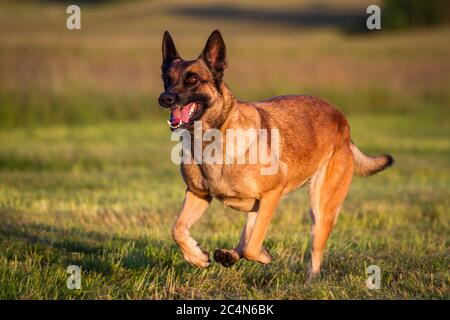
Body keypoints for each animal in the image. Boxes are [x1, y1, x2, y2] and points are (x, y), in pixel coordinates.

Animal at [158, 29, 394, 278]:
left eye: (192, 79)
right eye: (167, 79)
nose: (164, 98)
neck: (211, 140)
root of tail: (343, 122)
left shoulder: (272, 194)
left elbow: (253, 247)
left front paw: (263, 256)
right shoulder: (198, 194)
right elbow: (177, 229)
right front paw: (196, 257)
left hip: (320, 207)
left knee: (310, 248)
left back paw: (310, 279)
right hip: (260, 205)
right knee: (245, 234)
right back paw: (230, 255)